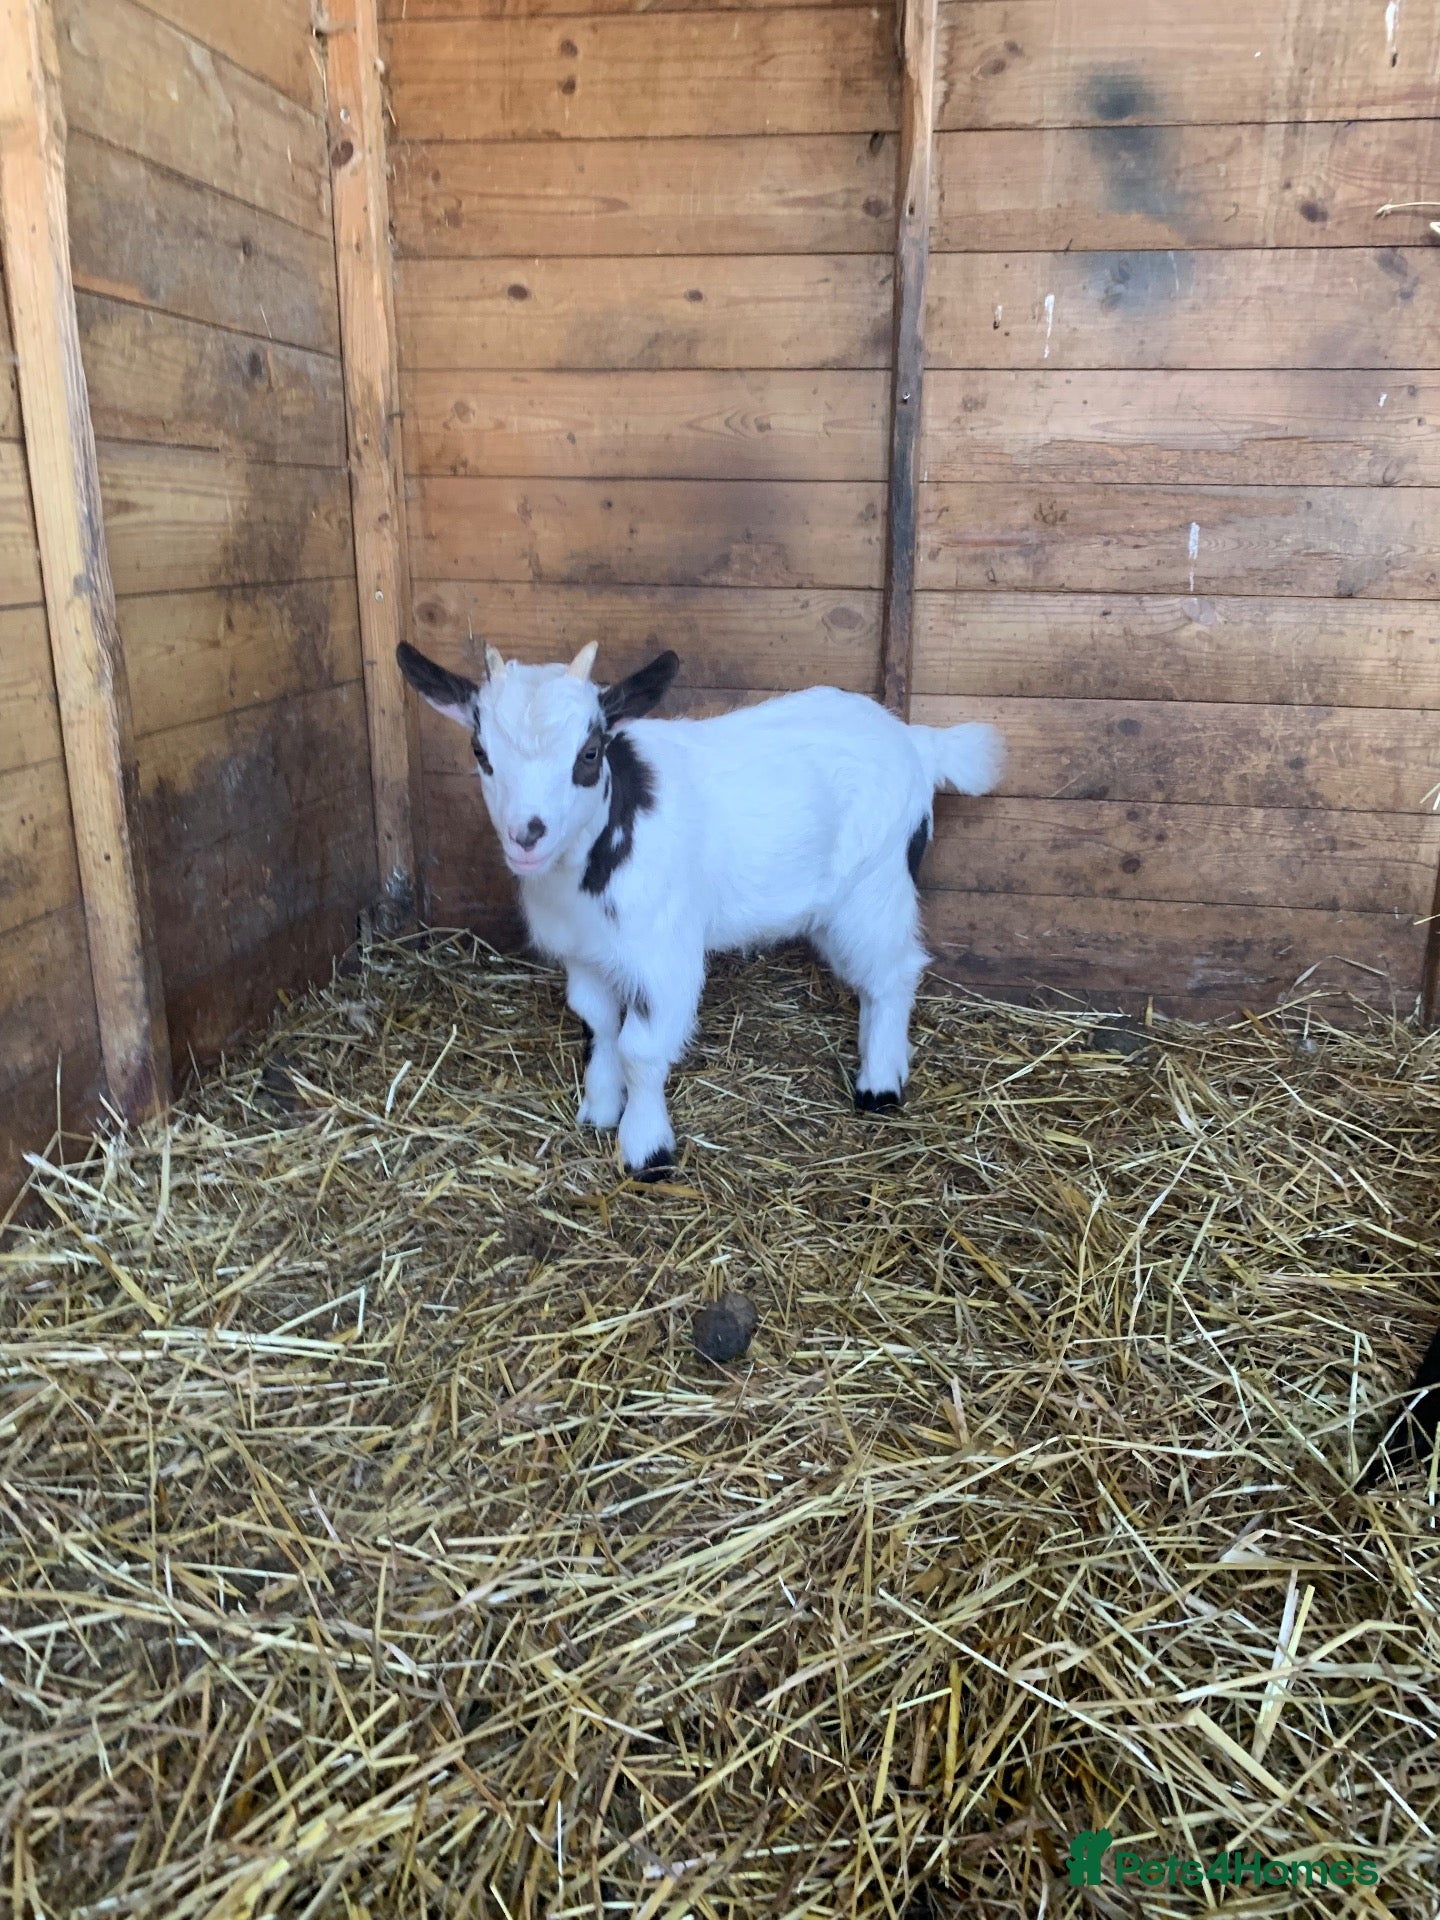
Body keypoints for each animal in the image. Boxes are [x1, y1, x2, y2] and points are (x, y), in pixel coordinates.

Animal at [397, 640, 1005, 1179]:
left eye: (589, 754)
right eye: (481, 753)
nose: (526, 835)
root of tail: (914, 739)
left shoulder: (664, 956)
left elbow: (640, 1050)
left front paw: (646, 1151)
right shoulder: (584, 953)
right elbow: (597, 1023)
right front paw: (599, 1110)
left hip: (876, 884)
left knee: (893, 973)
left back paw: (879, 1086)